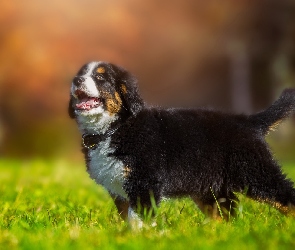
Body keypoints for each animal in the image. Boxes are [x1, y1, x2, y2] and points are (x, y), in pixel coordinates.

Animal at [69, 61, 295, 227]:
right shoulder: (119, 190)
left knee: (286, 197)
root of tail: (249, 121)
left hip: (256, 173)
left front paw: (139, 238)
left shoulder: (144, 183)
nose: (76, 79)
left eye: (100, 77)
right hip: (211, 189)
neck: (116, 128)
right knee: (226, 215)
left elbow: (138, 219)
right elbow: (127, 217)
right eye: (82, 73)